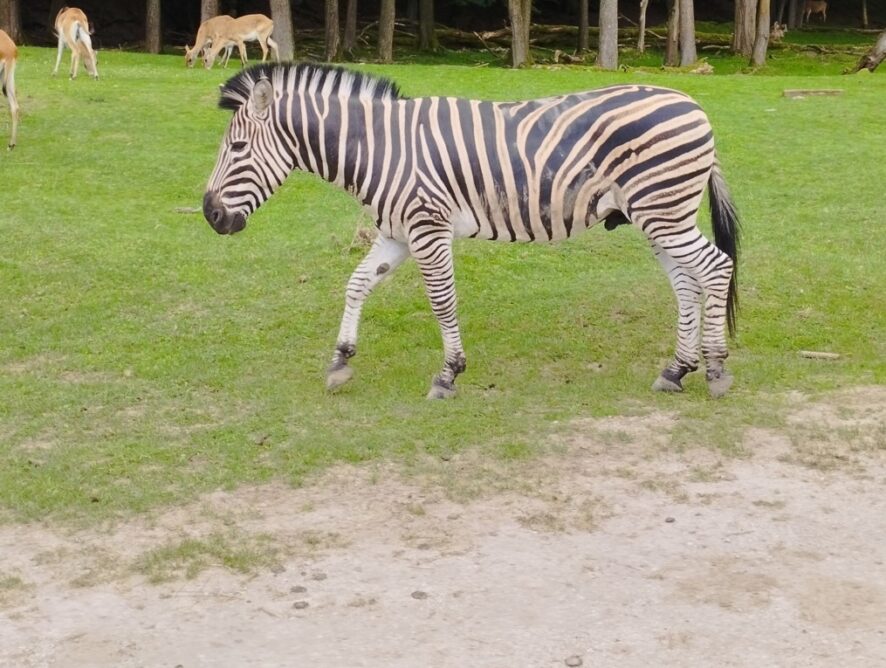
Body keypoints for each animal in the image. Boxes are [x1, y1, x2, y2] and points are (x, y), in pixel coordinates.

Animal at [203, 62, 744, 400]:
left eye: (237, 149)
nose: (209, 215)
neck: (379, 148)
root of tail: (691, 102)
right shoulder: (396, 232)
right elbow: (356, 283)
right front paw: (340, 361)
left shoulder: (427, 227)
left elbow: (442, 301)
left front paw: (448, 375)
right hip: (659, 217)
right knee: (687, 284)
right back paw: (676, 370)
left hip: (664, 211)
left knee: (717, 267)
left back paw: (716, 370)